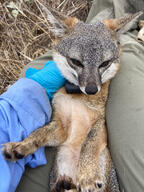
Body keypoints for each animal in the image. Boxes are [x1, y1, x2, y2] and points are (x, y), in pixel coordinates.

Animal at [1, 6, 142, 191]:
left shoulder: (101, 123)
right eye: (76, 62)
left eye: (104, 63)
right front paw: (22, 145)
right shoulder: (61, 127)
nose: (91, 90)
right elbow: (39, 132)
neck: (78, 99)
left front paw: (87, 175)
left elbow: (88, 143)